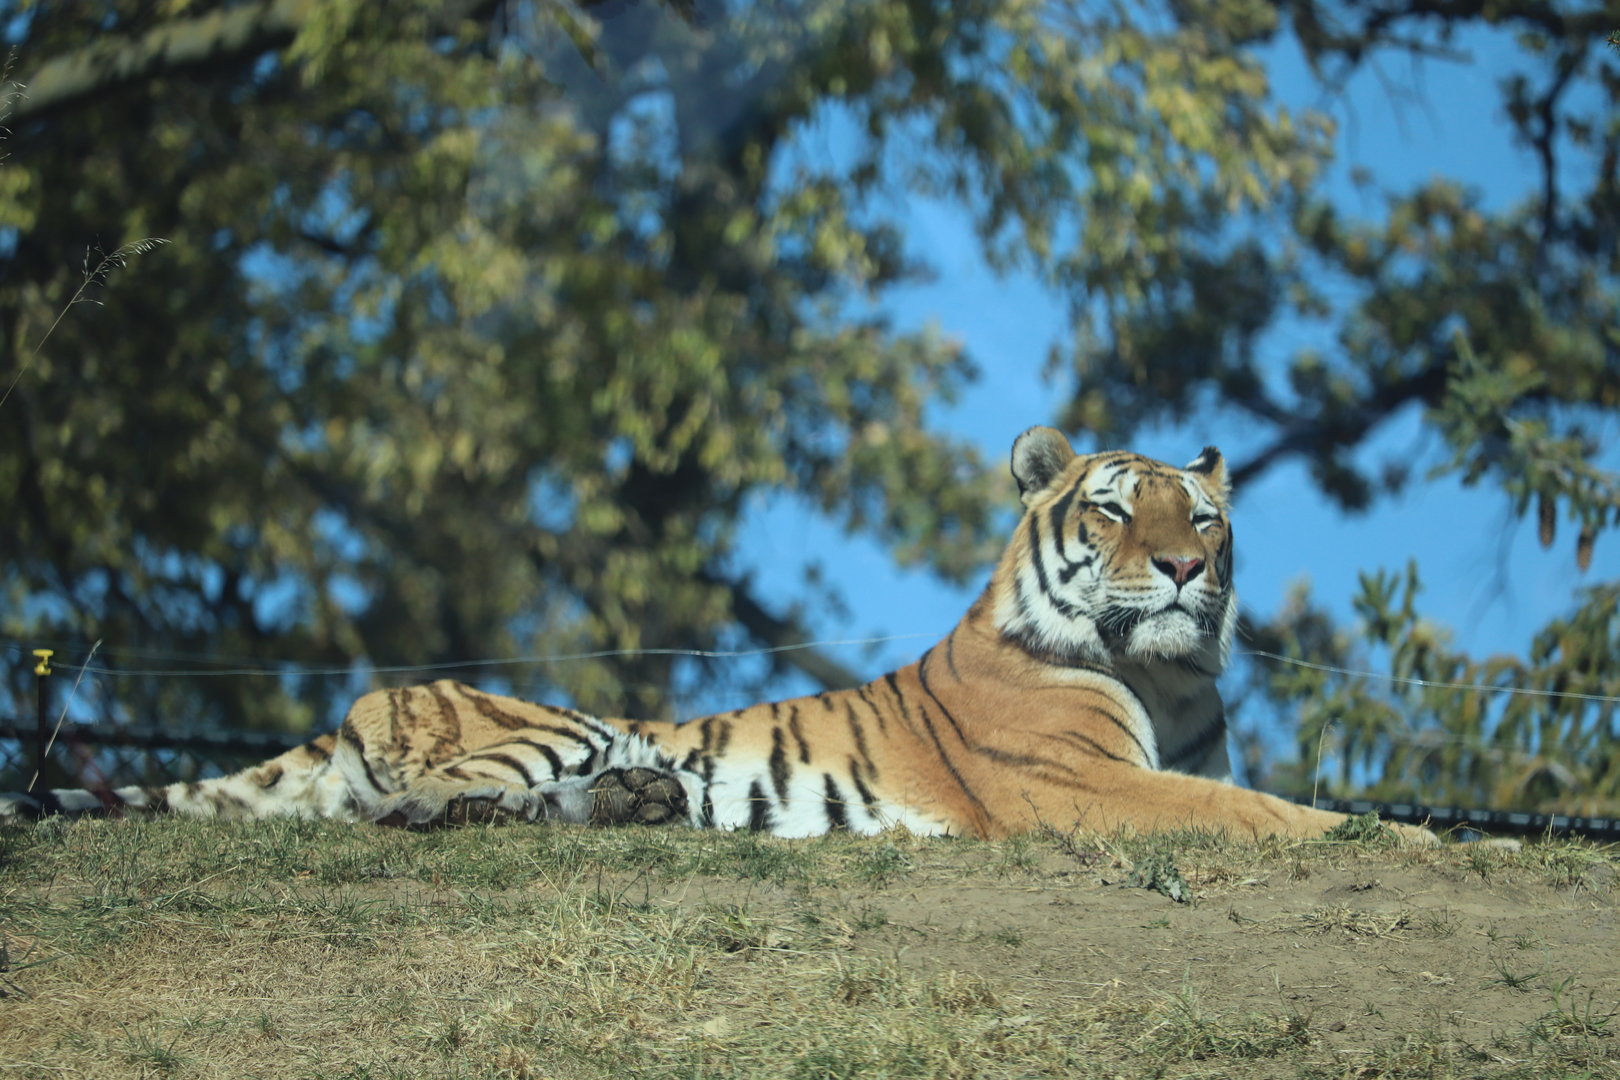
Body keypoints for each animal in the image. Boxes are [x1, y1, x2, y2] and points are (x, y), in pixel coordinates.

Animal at [1, 426, 1425, 843]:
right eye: (1120, 510)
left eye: (1207, 517)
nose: (1184, 568)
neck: (1169, 681)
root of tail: (357, 700)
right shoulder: (1089, 788)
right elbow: (1280, 818)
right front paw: (1398, 834)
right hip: (545, 726)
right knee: (417, 809)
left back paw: (649, 804)